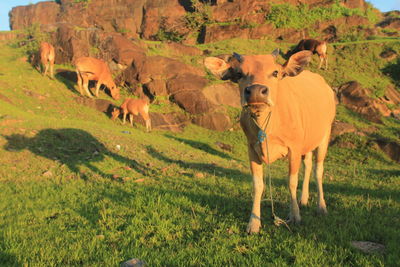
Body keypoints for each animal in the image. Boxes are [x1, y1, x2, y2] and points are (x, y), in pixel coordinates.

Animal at [205, 49, 336, 233]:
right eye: (239, 74)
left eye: (275, 72)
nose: (256, 91)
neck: (268, 126)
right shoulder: (252, 149)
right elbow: (258, 185)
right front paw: (253, 223)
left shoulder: (294, 148)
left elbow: (291, 182)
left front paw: (295, 216)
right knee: (308, 165)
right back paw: (303, 199)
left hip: (325, 134)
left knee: (318, 170)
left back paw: (321, 207)